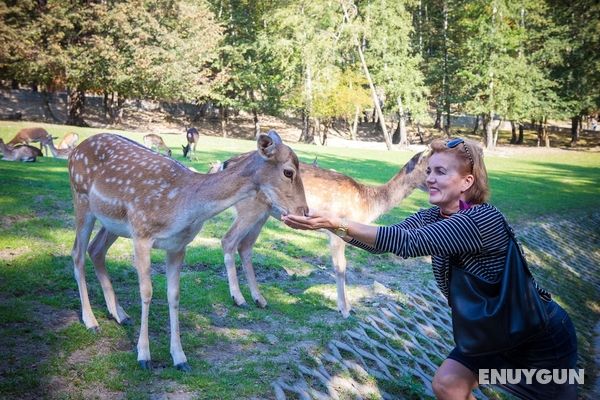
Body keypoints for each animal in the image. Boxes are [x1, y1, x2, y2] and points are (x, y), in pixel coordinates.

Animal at [68, 131, 308, 372]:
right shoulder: (142, 233)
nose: (304, 211)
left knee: (96, 250)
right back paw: (91, 321)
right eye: (289, 171)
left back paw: (119, 314)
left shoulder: (178, 246)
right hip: (82, 199)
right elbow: (146, 292)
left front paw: (180, 358)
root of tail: (75, 151)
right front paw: (144, 356)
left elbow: (174, 295)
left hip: (114, 223)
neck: (185, 207)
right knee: (77, 254)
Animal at [213, 149, 428, 316]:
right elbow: (340, 267)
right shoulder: (337, 232)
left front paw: (348, 307)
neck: (367, 205)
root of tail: (224, 164)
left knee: (245, 246)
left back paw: (260, 299)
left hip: (261, 213)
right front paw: (345, 310)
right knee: (228, 240)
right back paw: (239, 298)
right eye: (428, 168)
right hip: (249, 207)